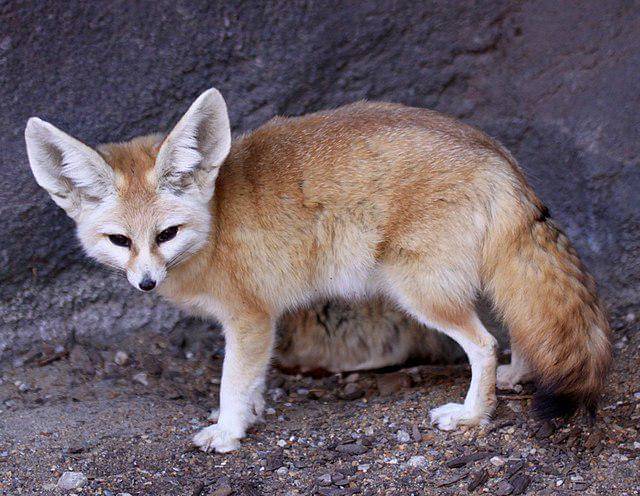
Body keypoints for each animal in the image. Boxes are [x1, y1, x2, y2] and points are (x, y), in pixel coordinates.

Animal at [25, 87, 611, 453]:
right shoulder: (258, 324)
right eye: (120, 241)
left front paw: (229, 432)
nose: (146, 283)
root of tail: (495, 153)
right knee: (518, 324)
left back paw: (472, 415)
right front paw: (252, 414)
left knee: (484, 343)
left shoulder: (251, 319)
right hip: (472, 279)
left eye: (165, 235)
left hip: (419, 292)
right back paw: (519, 374)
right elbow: (253, 381)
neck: (215, 224)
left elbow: (232, 382)